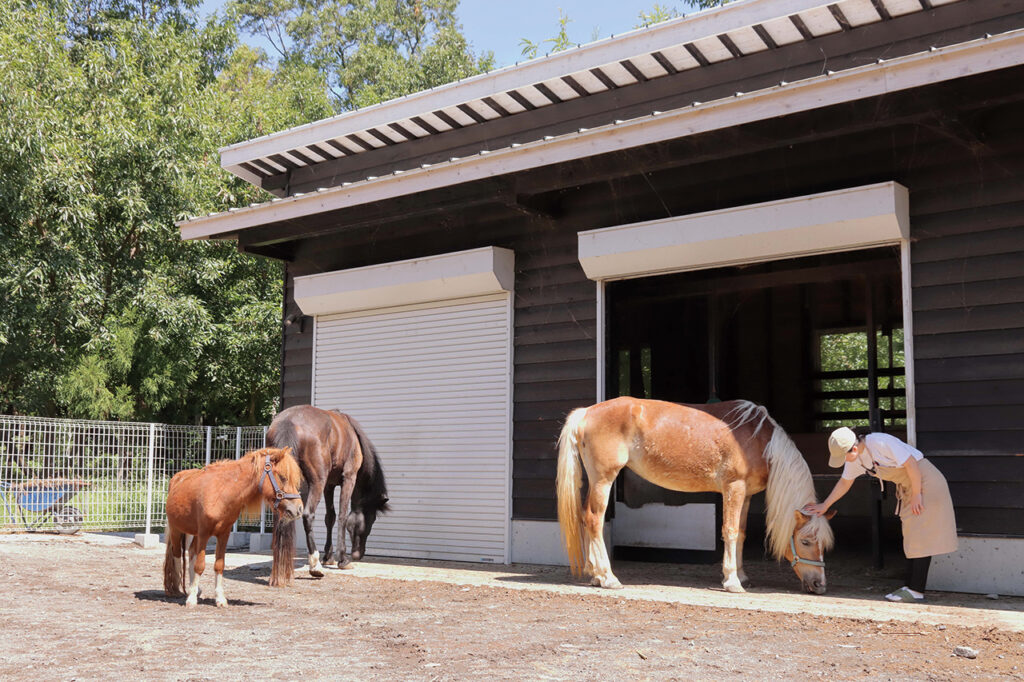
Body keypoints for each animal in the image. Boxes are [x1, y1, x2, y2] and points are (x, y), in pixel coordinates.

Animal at [161, 446, 301, 606]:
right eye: (283, 477)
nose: (299, 509)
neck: (222, 492)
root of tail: (176, 479)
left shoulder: (224, 534)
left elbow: (218, 565)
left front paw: (220, 599)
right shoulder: (204, 533)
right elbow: (200, 565)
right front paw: (191, 600)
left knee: (190, 553)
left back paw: (192, 589)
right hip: (176, 530)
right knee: (177, 554)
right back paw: (177, 590)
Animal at [266, 403, 389, 585]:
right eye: (372, 519)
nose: (359, 554)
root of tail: (288, 421)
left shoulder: (329, 485)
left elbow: (330, 517)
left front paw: (328, 557)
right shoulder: (349, 478)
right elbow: (343, 516)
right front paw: (342, 559)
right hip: (317, 481)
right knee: (308, 515)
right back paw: (315, 565)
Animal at [557, 395, 835, 593]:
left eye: (824, 544)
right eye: (806, 541)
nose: (820, 585)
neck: (759, 440)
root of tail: (586, 412)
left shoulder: (745, 495)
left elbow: (741, 533)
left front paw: (742, 575)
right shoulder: (733, 487)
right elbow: (730, 531)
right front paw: (732, 581)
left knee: (585, 518)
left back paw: (595, 575)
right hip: (604, 478)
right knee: (594, 520)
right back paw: (608, 577)